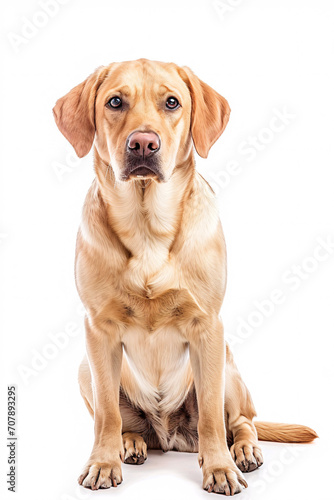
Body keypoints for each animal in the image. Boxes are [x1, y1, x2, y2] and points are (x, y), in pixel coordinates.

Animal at [53, 58, 318, 492]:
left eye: (172, 102)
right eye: (115, 102)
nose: (144, 144)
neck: (147, 227)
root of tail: (169, 435)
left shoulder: (208, 327)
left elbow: (211, 416)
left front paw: (219, 467)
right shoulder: (98, 330)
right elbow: (106, 414)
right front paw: (104, 463)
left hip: (228, 366)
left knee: (242, 421)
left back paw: (243, 450)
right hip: (84, 369)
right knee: (122, 422)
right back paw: (131, 443)